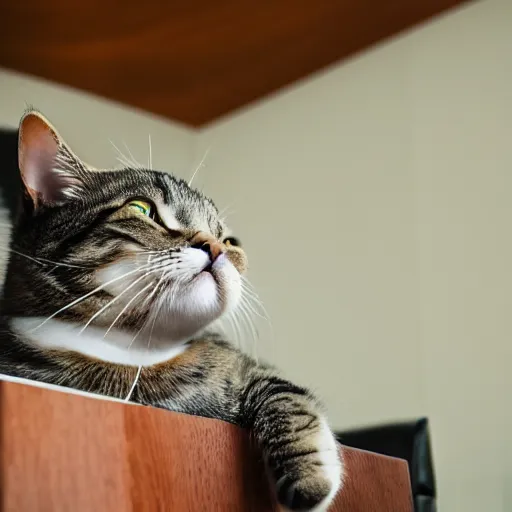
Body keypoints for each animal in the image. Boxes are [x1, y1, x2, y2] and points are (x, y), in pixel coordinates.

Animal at [0, 110, 344, 510]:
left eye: (229, 240)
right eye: (141, 208)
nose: (216, 248)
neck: (130, 351)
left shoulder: (253, 369)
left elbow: (286, 396)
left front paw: (308, 477)